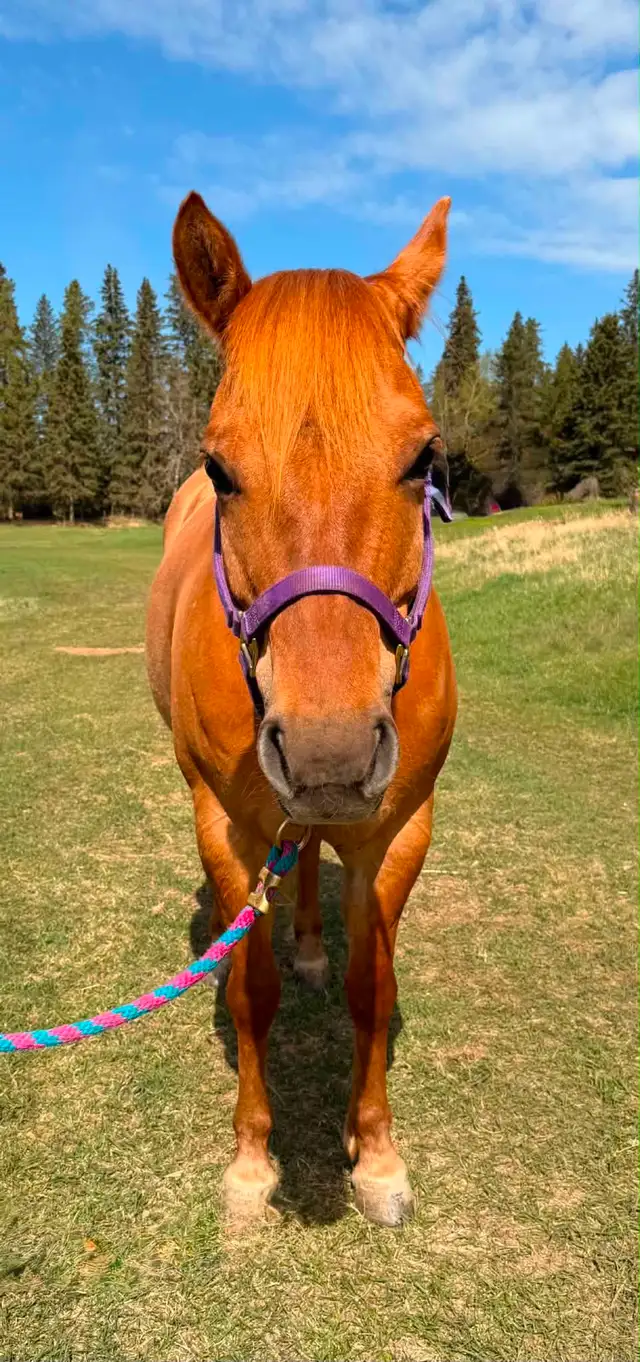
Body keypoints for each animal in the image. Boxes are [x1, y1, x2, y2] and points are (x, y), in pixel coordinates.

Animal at [146, 191, 457, 1227]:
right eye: (220, 468)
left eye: (424, 459)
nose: (329, 754)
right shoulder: (225, 823)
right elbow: (251, 989)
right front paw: (251, 1163)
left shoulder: (400, 827)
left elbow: (373, 985)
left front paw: (377, 1156)